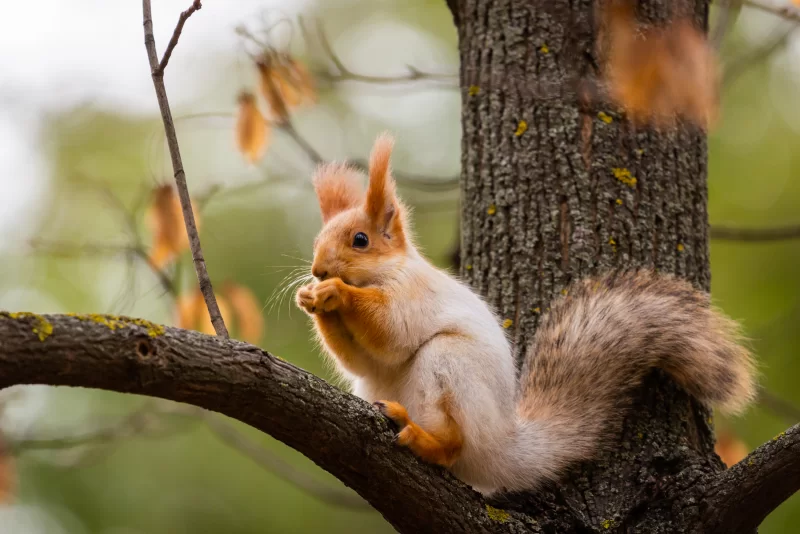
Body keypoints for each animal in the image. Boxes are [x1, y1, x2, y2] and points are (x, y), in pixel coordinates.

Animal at [295, 133, 756, 495]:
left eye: (360, 240)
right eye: (316, 240)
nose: (318, 270)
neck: (385, 273)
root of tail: (502, 447)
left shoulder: (413, 294)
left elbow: (391, 333)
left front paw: (336, 293)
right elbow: (360, 360)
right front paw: (311, 298)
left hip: (452, 367)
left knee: (454, 445)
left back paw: (427, 438)